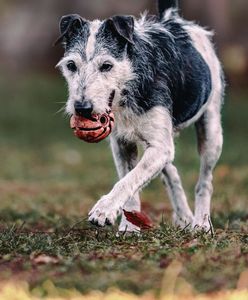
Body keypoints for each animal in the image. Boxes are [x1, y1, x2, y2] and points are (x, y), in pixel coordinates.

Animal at [55, 0, 225, 232]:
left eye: (106, 66)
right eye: (71, 65)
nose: (82, 108)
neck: (129, 83)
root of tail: (173, 18)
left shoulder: (159, 146)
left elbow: (128, 179)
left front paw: (104, 210)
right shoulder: (122, 144)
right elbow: (130, 178)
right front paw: (129, 226)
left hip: (211, 131)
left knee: (205, 181)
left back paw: (202, 223)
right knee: (171, 172)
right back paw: (184, 217)